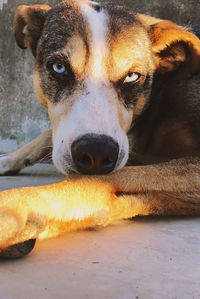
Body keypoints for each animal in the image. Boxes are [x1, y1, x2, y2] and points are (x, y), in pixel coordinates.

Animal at [0, 0, 200, 258]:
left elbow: (100, 179)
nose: (96, 152)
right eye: (59, 67)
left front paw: (13, 210)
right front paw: (9, 160)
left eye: (132, 76)